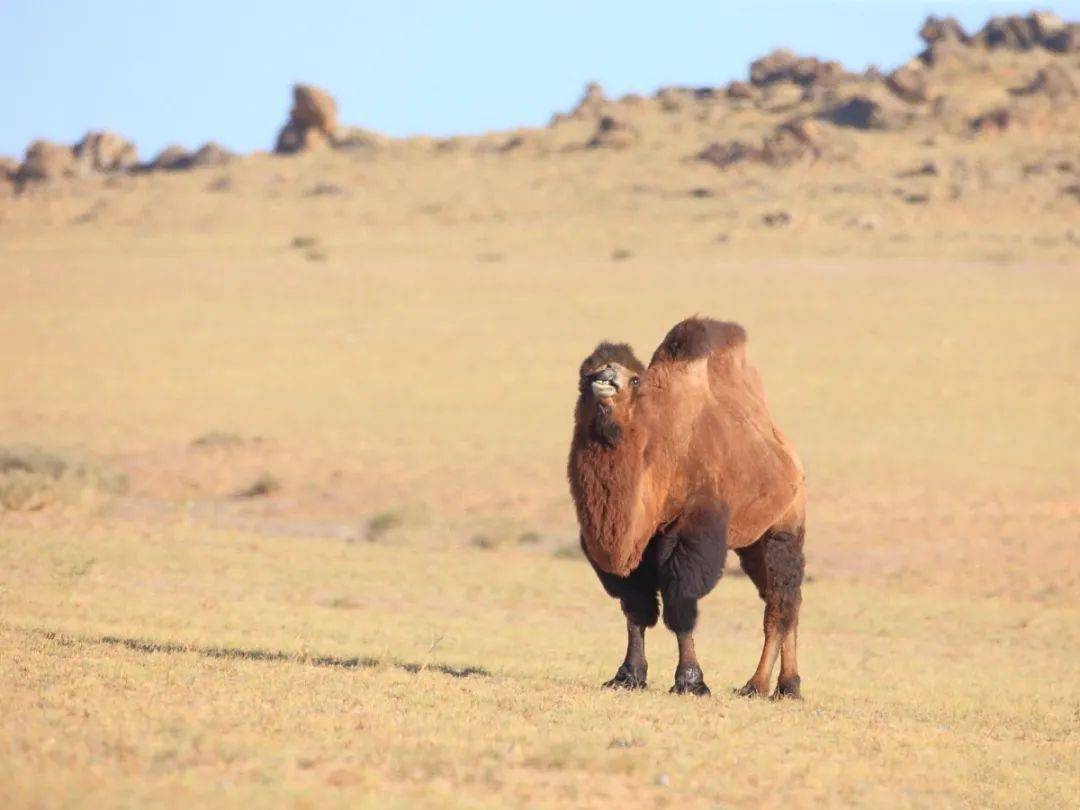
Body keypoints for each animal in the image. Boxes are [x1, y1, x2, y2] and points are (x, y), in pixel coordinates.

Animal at [570, 317, 807, 699]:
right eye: (585, 373)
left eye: (634, 379)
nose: (604, 377)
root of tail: (789, 455)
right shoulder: (636, 547)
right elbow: (635, 609)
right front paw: (628, 675)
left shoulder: (693, 532)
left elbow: (681, 602)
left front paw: (691, 681)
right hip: (751, 544)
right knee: (784, 601)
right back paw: (786, 686)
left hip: (784, 529)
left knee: (781, 603)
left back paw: (758, 685)